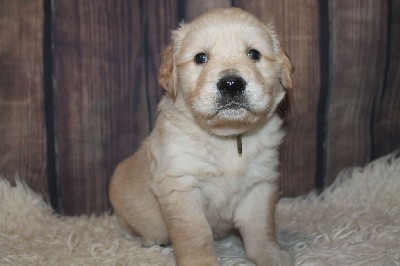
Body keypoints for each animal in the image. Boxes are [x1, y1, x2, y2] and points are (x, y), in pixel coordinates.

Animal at [109, 7, 294, 266]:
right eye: (200, 58)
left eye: (254, 53)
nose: (231, 84)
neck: (228, 138)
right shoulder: (181, 184)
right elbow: (195, 233)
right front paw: (202, 261)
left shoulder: (260, 182)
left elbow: (261, 226)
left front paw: (270, 254)